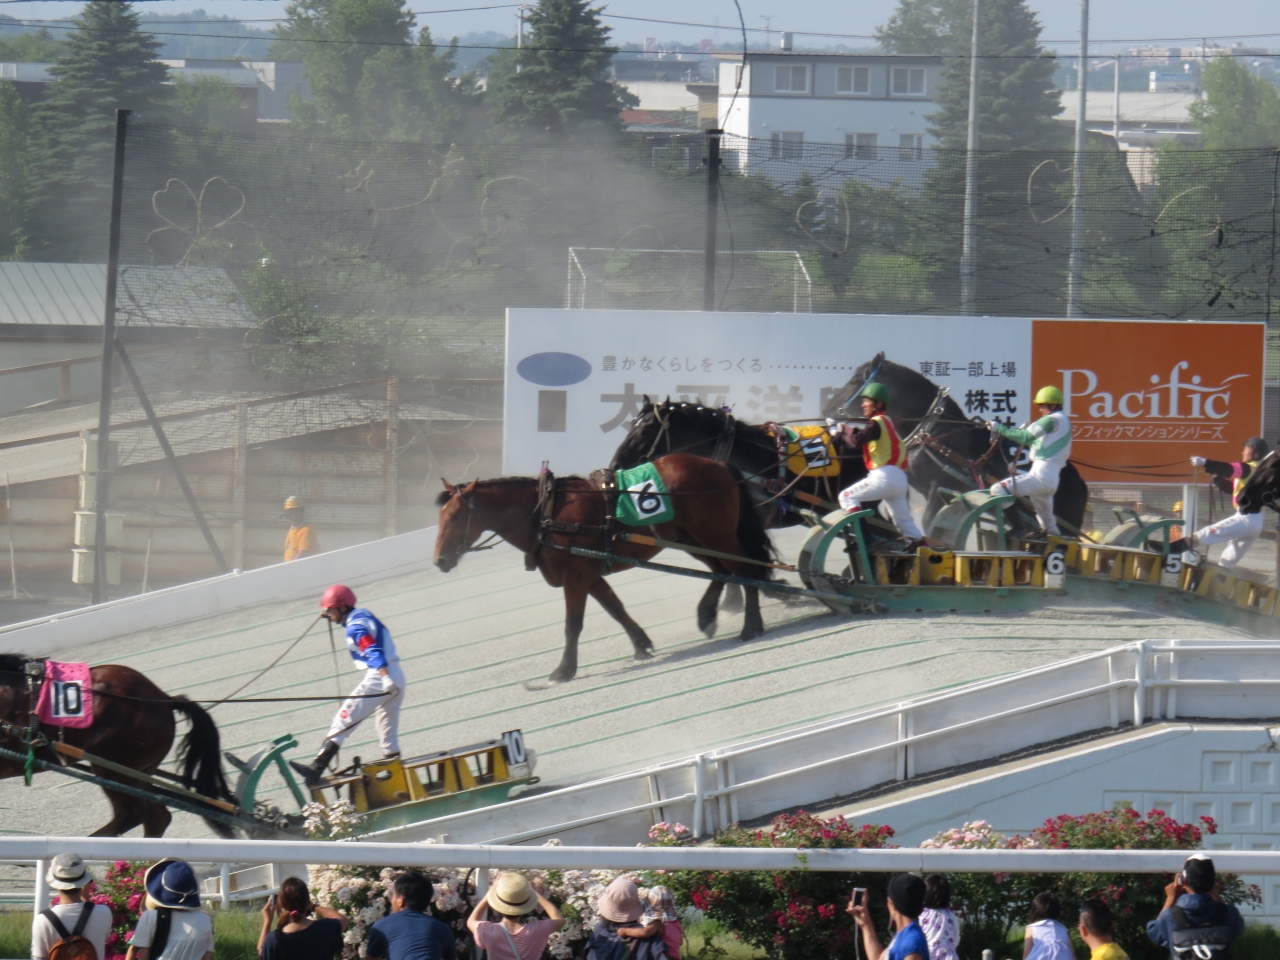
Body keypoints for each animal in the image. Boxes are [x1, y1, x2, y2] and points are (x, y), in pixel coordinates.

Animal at [434, 454, 775, 685]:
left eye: (454, 517)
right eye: (440, 518)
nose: (439, 560)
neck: (545, 514)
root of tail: (717, 464)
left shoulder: (575, 578)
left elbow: (573, 624)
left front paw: (564, 669)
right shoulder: (591, 576)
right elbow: (616, 609)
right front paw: (641, 644)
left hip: (715, 535)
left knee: (744, 570)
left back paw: (751, 626)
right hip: (690, 538)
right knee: (721, 571)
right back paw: (708, 614)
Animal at [822, 352, 1090, 536]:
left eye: (854, 380)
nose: (826, 409)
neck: (938, 434)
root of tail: (1081, 483)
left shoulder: (939, 488)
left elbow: (929, 523)